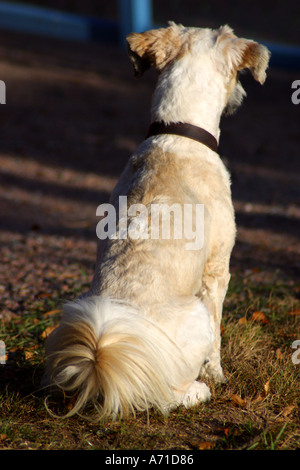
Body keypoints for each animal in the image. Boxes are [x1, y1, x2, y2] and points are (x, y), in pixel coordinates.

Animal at [44, 23, 270, 418]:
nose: (241, 95)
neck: (178, 133)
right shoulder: (216, 271)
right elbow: (217, 336)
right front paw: (217, 375)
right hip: (194, 314)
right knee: (165, 397)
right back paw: (197, 391)